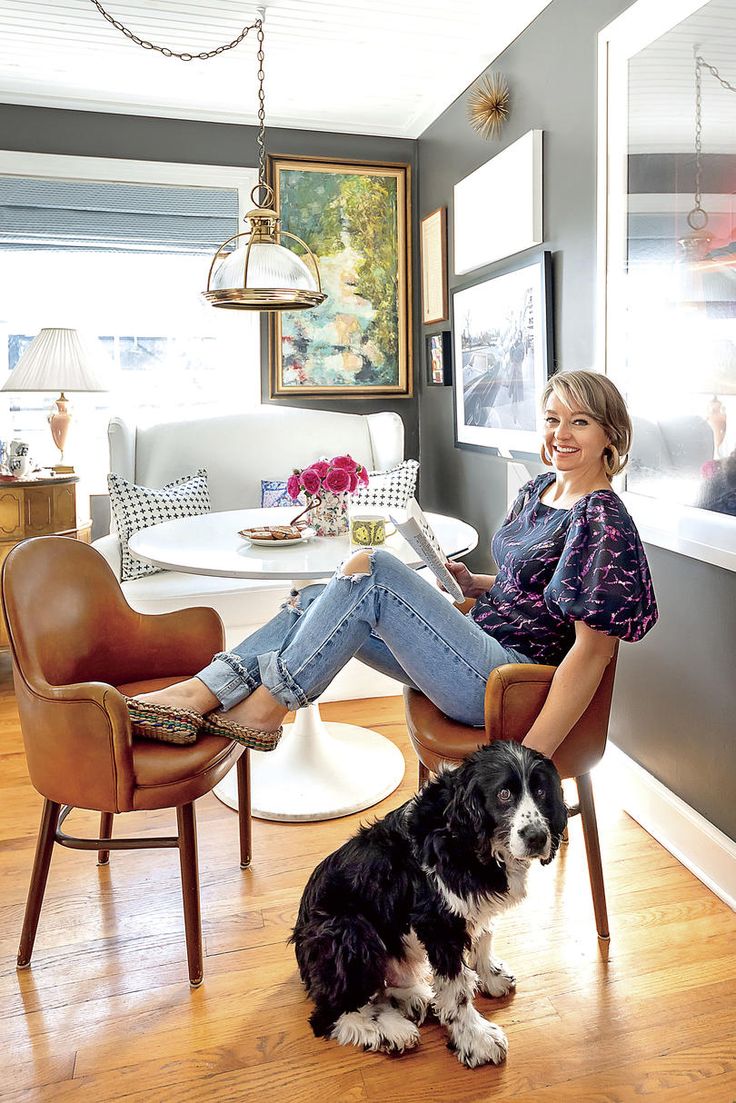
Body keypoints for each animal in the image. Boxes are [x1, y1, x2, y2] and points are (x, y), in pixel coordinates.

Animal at [291, 741, 569, 1067]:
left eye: (540, 791)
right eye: (504, 794)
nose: (537, 838)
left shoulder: (469, 906)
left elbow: (484, 935)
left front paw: (490, 975)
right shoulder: (438, 924)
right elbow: (457, 990)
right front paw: (476, 1040)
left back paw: (414, 999)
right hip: (346, 930)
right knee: (331, 1013)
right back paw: (391, 1030)